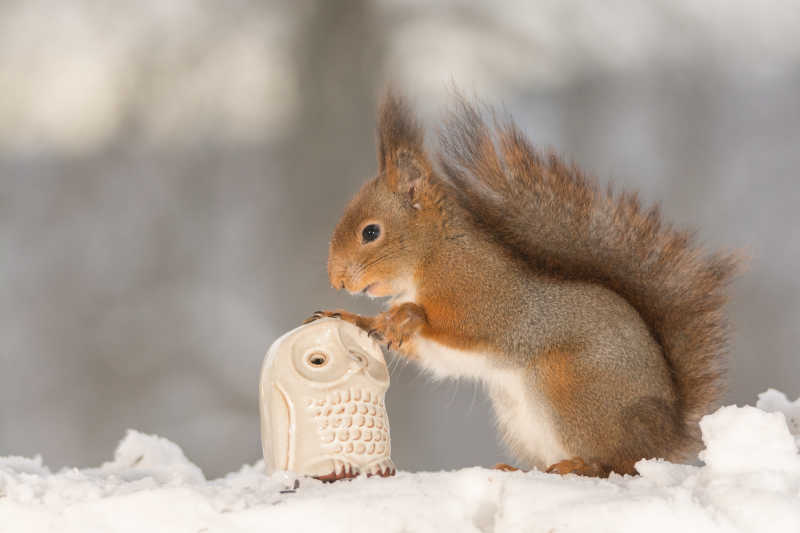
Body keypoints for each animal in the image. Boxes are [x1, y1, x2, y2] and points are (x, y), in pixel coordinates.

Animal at [310, 89, 740, 476]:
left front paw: (406, 314)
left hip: (575, 394)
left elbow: (467, 329)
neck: (433, 256)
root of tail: (664, 439)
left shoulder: (489, 300)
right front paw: (356, 319)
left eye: (370, 232)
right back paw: (517, 468)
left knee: (616, 464)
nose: (336, 279)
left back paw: (580, 466)